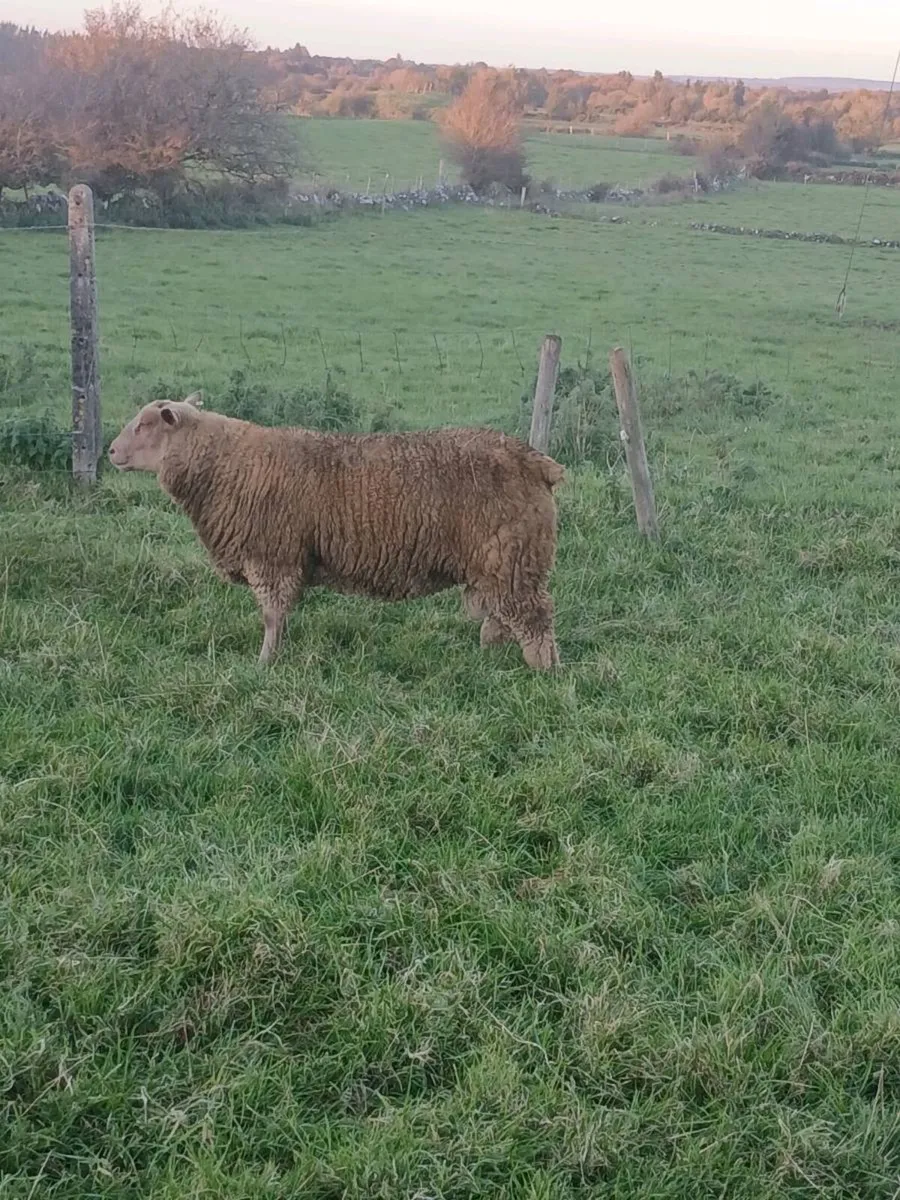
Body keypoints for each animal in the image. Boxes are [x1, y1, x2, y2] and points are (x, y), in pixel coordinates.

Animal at [108, 392, 565, 669]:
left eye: (143, 425)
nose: (110, 451)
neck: (227, 464)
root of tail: (536, 462)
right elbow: (280, 616)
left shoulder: (273, 558)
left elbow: (272, 617)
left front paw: (264, 663)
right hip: (499, 563)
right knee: (504, 614)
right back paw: (488, 656)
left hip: (513, 557)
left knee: (535, 618)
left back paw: (544, 672)